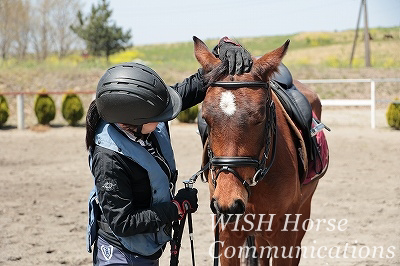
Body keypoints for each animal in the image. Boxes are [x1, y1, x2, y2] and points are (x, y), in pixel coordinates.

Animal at [194, 35, 328, 266]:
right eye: (205, 119)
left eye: (259, 118)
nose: (228, 204)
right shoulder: (228, 237)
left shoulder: (284, 237)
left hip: (302, 215)